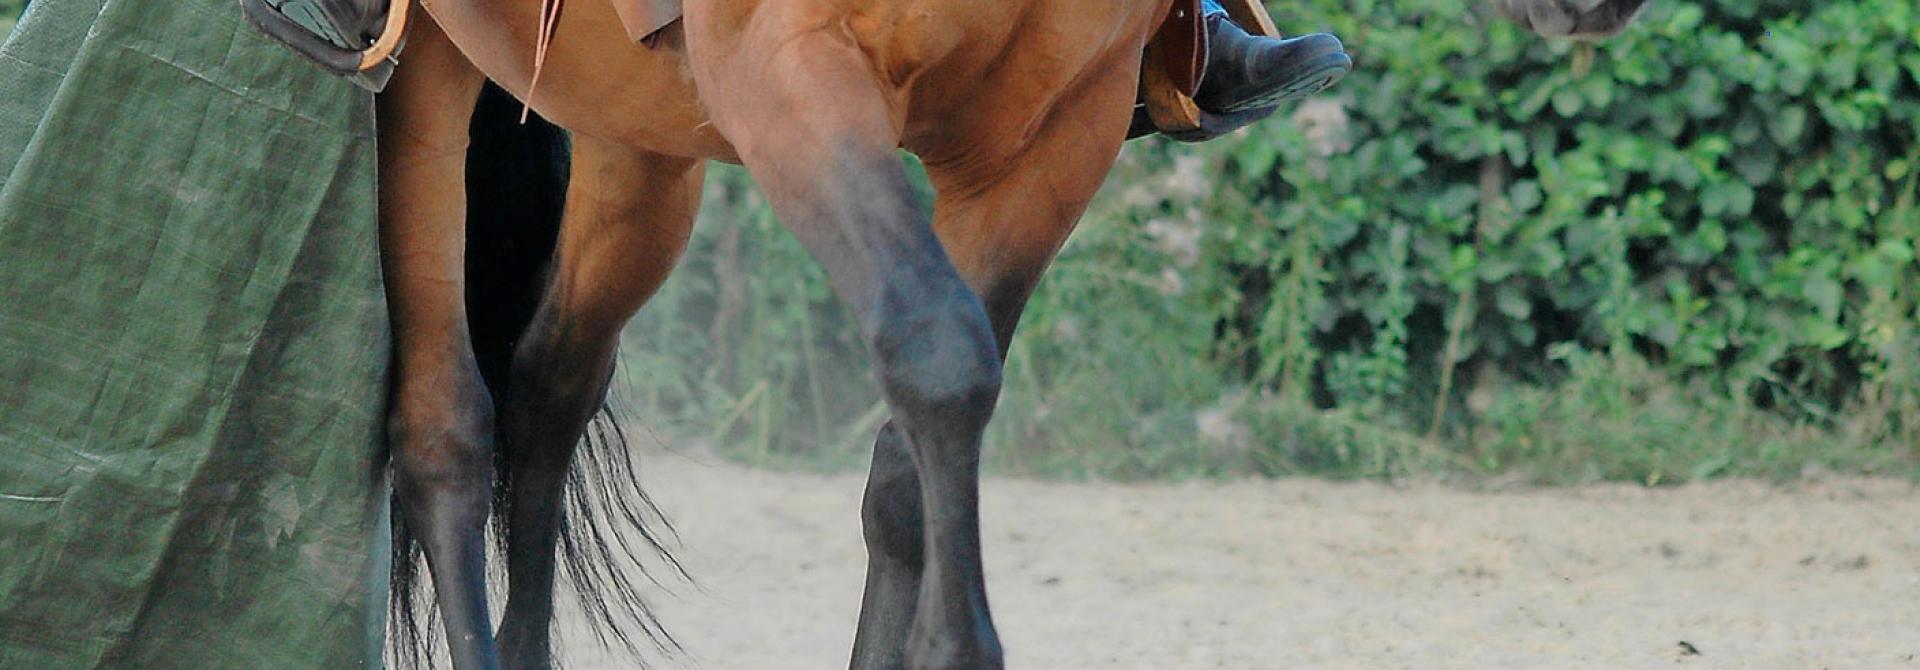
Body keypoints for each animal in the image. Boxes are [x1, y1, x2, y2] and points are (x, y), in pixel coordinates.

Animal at [256, 0, 1649, 667]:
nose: (1595, 1)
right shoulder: (793, 75)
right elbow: (933, 352)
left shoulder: (1052, 146)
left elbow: (907, 464)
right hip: (435, 85)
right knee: (447, 434)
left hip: (635, 141)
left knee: (549, 398)